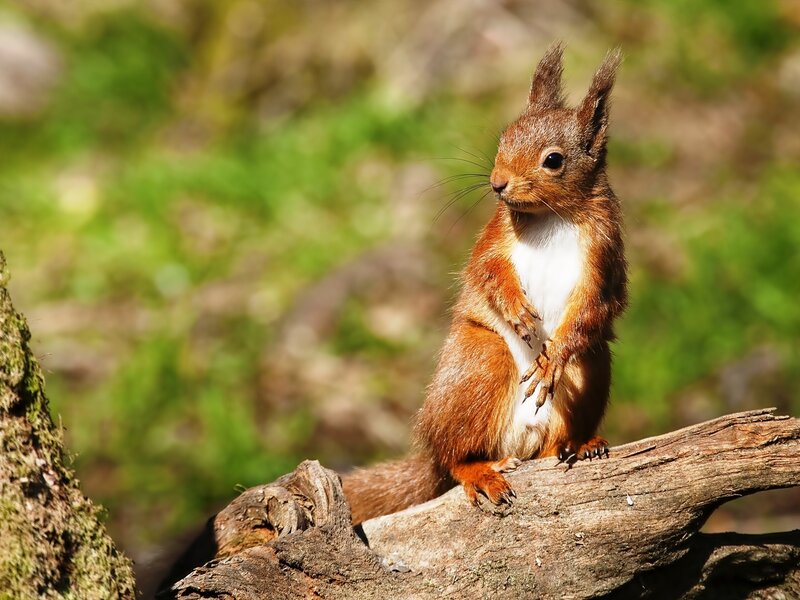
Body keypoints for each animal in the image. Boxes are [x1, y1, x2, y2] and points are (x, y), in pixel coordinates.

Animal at [342, 44, 628, 525]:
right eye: (503, 138)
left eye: (554, 159)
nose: (497, 184)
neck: (553, 216)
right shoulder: (494, 238)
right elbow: (488, 271)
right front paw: (517, 309)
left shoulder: (603, 257)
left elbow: (596, 304)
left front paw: (552, 360)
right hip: (482, 361)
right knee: (456, 458)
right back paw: (479, 471)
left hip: (591, 368)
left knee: (556, 431)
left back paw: (579, 443)